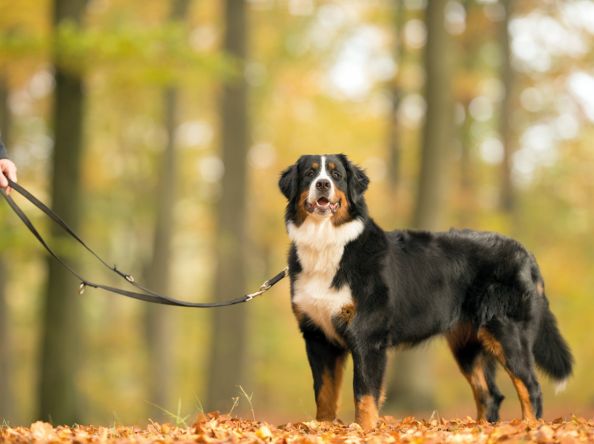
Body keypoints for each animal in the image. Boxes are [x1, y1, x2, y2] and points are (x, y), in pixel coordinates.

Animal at [280, 153, 572, 430]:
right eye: (309, 174)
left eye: (336, 174)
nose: (322, 184)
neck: (326, 245)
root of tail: (525, 253)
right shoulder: (318, 337)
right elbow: (324, 395)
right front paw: (322, 428)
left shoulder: (367, 335)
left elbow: (364, 394)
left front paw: (363, 430)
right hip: (468, 344)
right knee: (490, 394)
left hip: (508, 333)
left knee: (530, 387)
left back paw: (529, 427)